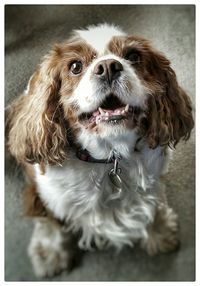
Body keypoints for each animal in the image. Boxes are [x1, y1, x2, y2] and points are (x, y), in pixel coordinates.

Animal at [6, 23, 194, 278]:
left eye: (133, 56)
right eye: (75, 66)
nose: (108, 67)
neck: (109, 155)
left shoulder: (153, 176)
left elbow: (153, 200)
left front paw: (160, 230)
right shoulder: (45, 191)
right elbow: (50, 219)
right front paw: (50, 252)